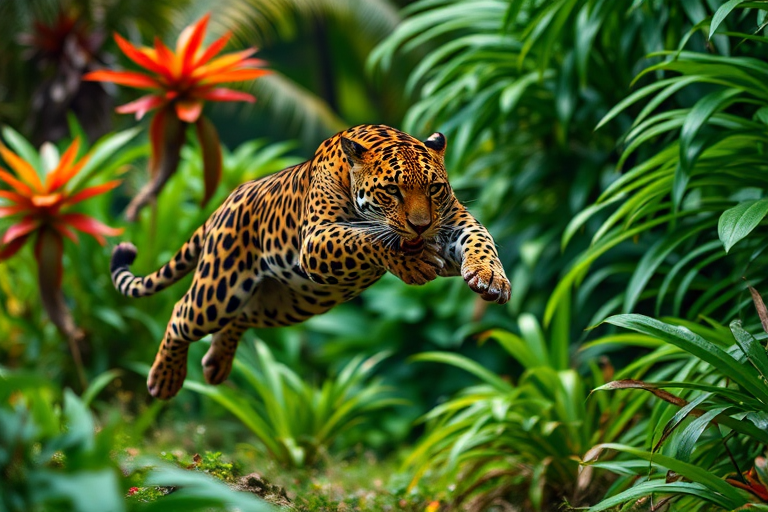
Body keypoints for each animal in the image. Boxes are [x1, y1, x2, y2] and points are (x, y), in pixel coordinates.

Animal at [111, 124, 511, 399]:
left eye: (434, 189)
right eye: (392, 191)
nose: (421, 225)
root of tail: (224, 204)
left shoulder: (455, 220)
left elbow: (481, 239)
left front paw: (490, 278)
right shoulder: (317, 238)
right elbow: (365, 237)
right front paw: (409, 261)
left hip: (286, 303)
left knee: (240, 317)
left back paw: (216, 363)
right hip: (219, 289)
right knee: (182, 313)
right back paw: (165, 379)